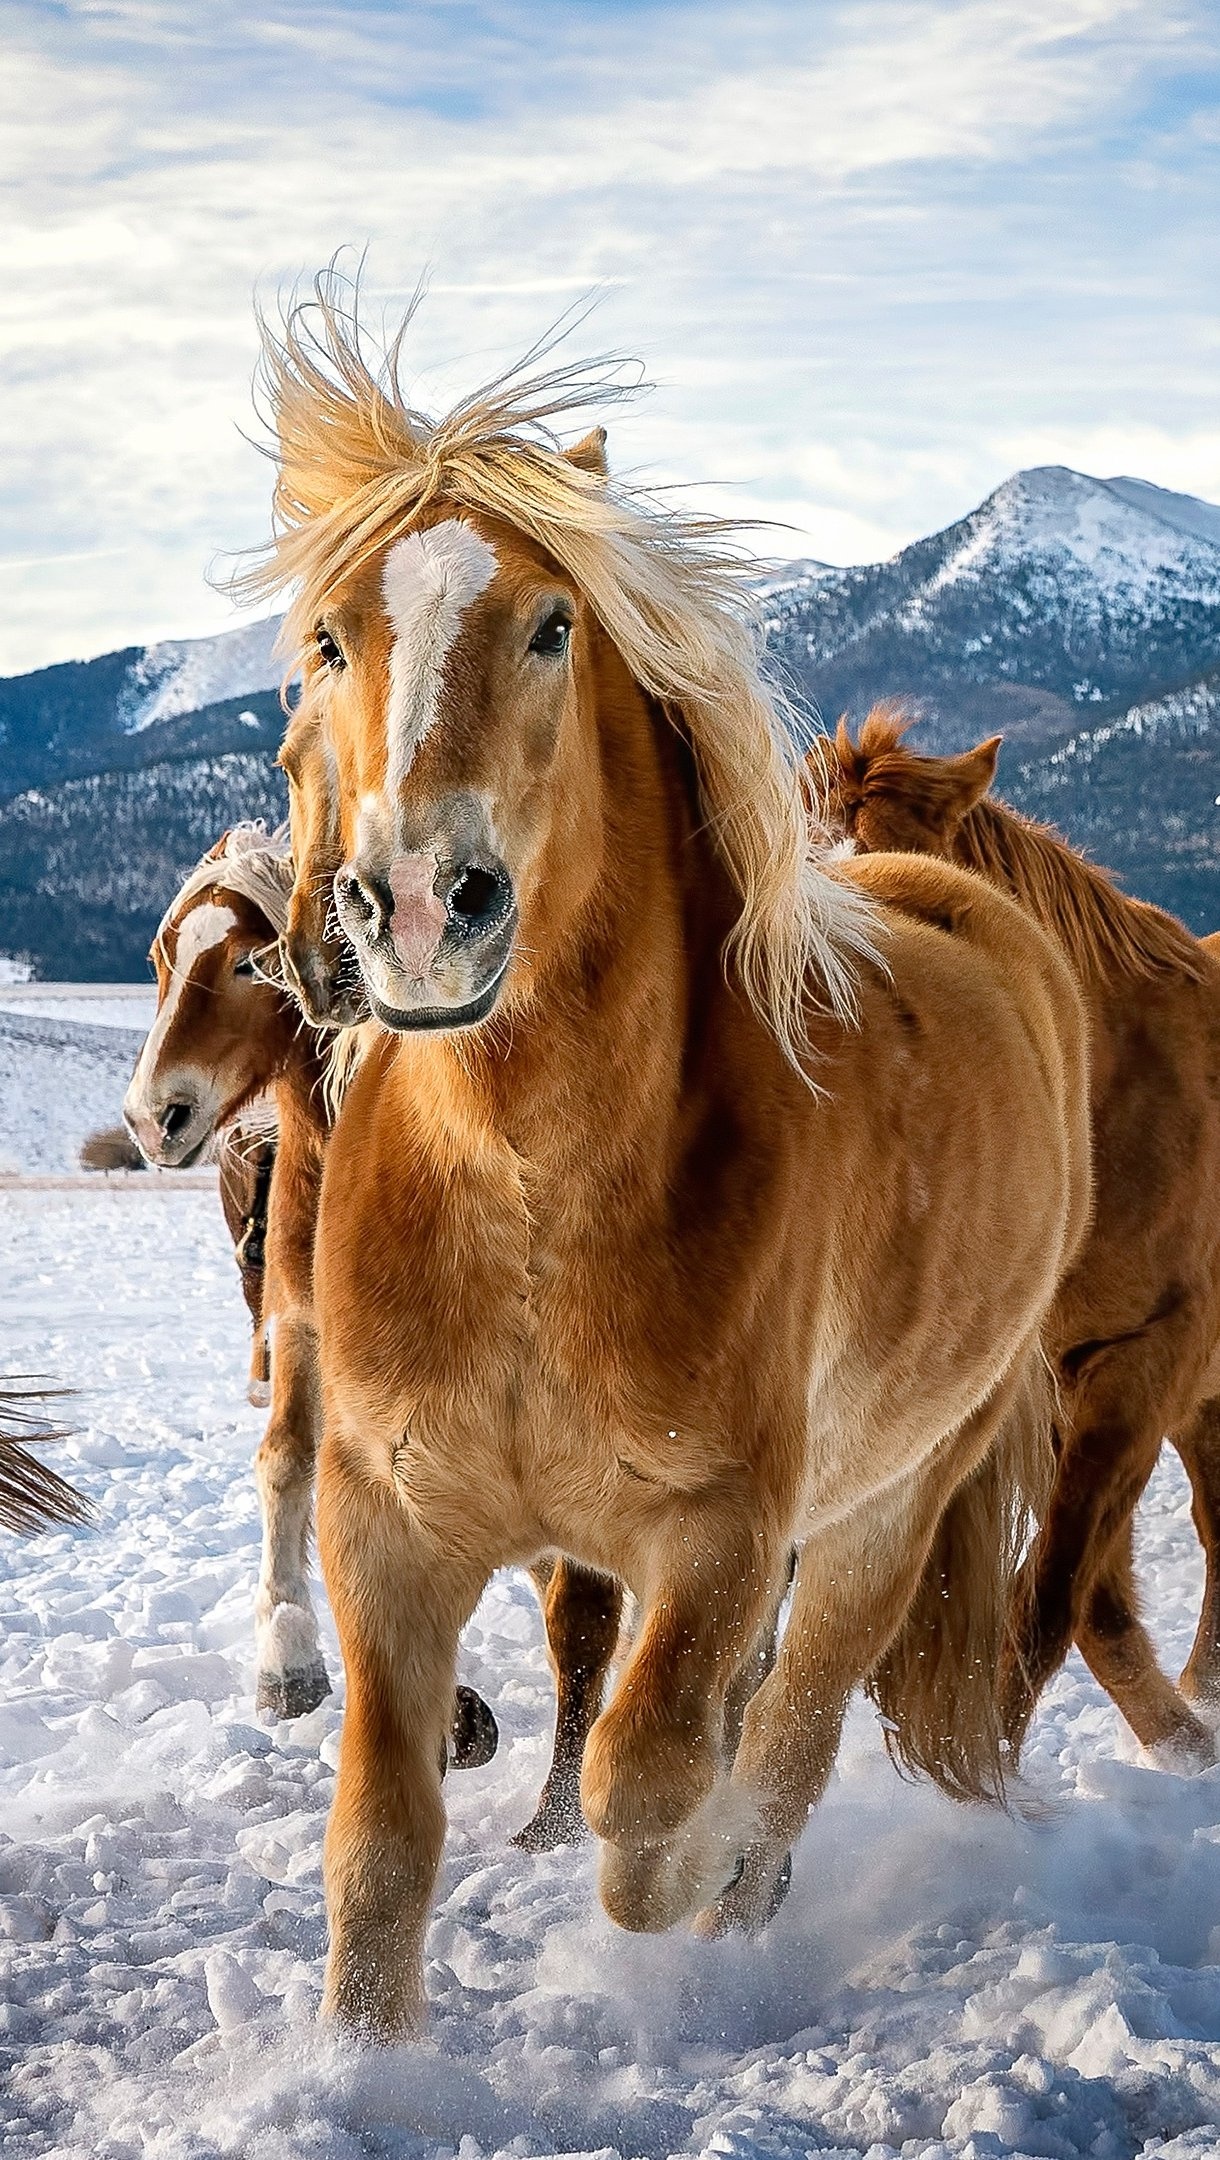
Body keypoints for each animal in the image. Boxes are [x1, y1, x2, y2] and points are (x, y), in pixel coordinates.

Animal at [235, 291, 1083, 2039]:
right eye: (332, 640)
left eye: (552, 626)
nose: (415, 910)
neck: (527, 1203)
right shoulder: (384, 1527)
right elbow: (383, 1846)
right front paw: (367, 2063)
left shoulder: (719, 1538)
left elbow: (650, 1788)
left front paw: (685, 1883)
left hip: (889, 1506)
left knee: (796, 1726)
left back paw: (746, 1909)